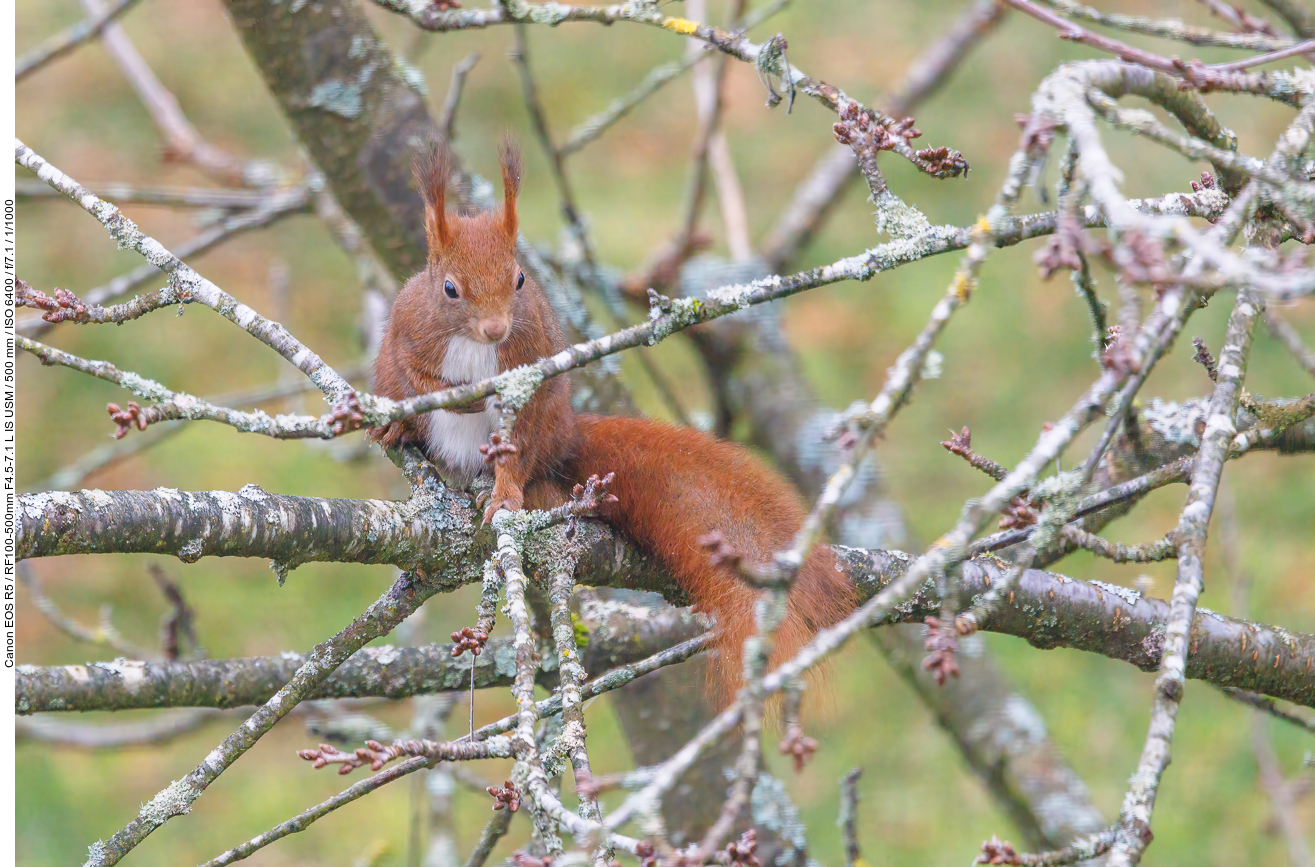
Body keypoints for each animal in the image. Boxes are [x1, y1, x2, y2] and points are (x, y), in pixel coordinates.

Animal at [370, 144, 852, 699]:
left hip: (547, 431)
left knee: (532, 460)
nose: (495, 329)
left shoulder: (531, 368)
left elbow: (515, 444)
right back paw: (398, 428)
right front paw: (448, 398)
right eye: (449, 288)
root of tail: (567, 436)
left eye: (519, 279)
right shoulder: (407, 329)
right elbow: (414, 370)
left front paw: (506, 495)